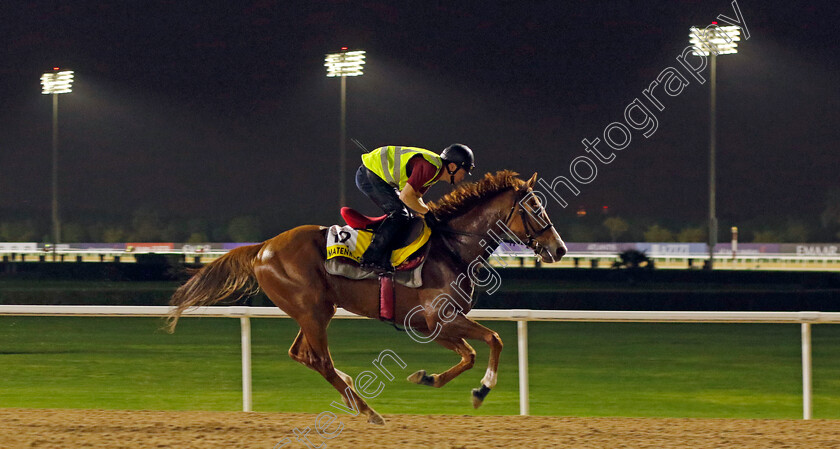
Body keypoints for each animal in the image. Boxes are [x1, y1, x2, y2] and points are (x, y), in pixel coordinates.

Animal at [167, 169, 568, 424]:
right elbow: (489, 342)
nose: (560, 249)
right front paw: (476, 389)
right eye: (535, 207)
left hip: (317, 310)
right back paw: (367, 410)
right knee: (321, 360)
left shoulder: (437, 324)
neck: (452, 247)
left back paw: (352, 390)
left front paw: (431, 379)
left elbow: (476, 350)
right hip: (311, 310)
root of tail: (262, 247)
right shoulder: (438, 320)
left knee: (303, 354)